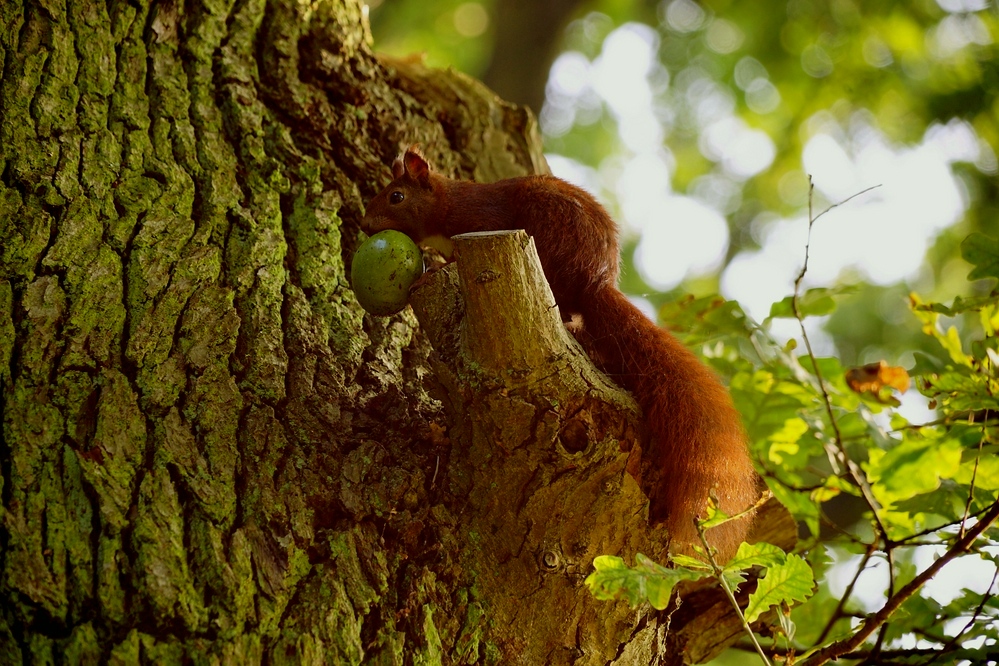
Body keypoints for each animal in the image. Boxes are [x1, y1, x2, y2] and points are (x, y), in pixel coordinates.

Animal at [360, 145, 756, 556]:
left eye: (396, 196)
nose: (363, 224)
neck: (446, 204)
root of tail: (595, 282)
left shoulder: (480, 218)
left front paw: (430, 272)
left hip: (550, 238)